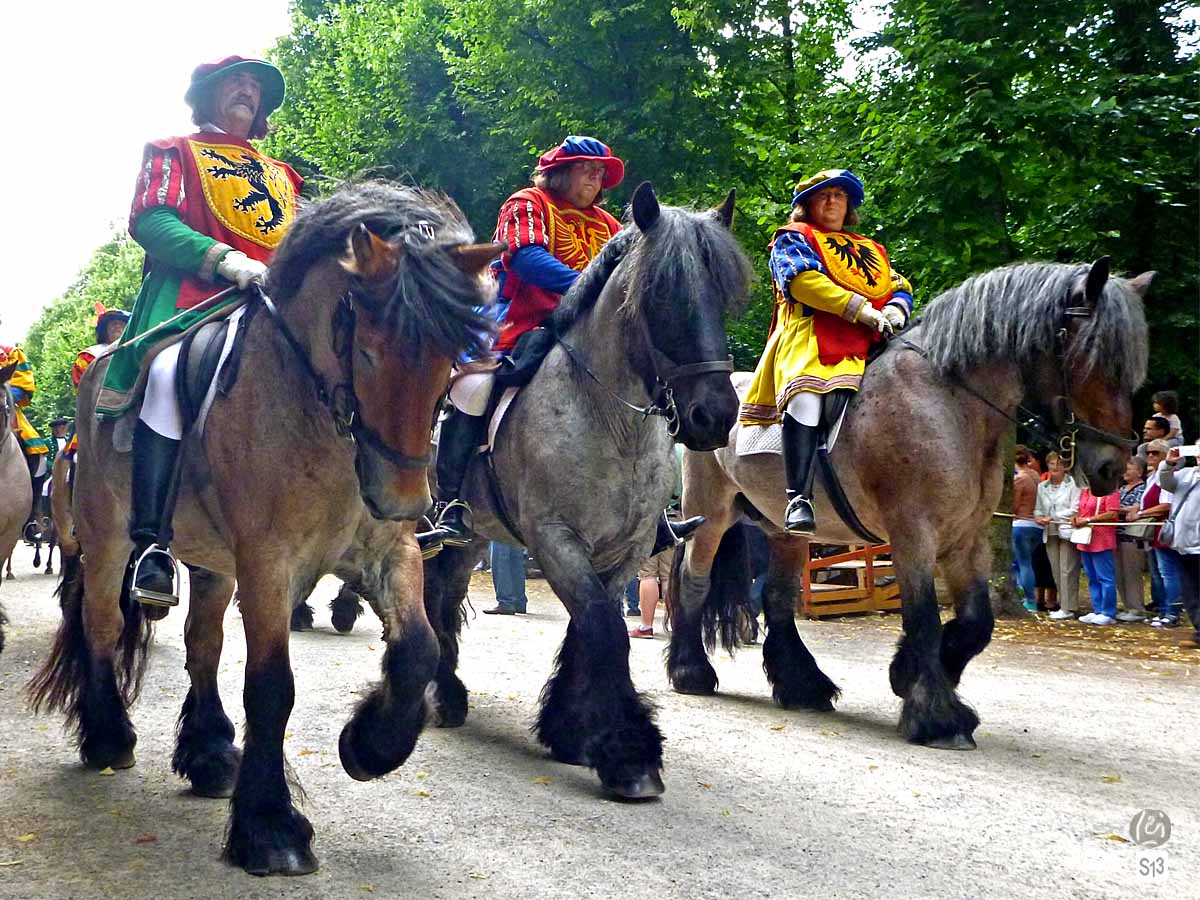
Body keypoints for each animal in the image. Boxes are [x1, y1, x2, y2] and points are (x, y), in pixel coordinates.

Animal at [31, 180, 501, 878]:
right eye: (368, 350)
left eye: (450, 358)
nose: (403, 498)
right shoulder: (268, 567)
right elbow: (272, 687)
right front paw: (270, 827)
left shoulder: (387, 553)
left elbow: (419, 647)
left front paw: (370, 745)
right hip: (108, 538)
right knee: (103, 626)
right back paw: (108, 736)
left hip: (210, 562)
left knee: (201, 645)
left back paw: (208, 755)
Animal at [422, 181, 748, 796]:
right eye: (660, 293)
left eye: (723, 294)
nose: (714, 417)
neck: (608, 419)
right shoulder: (556, 540)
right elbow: (605, 628)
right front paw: (628, 752)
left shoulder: (625, 550)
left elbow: (588, 629)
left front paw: (571, 731)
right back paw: (434, 694)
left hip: (472, 537)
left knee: (445, 594)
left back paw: (444, 692)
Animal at [672, 256, 1147, 748]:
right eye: (1094, 360)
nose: (1112, 467)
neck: (947, 402)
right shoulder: (912, 534)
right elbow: (923, 617)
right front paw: (936, 715)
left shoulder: (967, 539)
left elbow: (976, 621)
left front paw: (908, 674)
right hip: (709, 515)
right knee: (694, 580)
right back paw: (691, 672)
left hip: (784, 531)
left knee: (778, 597)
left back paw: (802, 685)